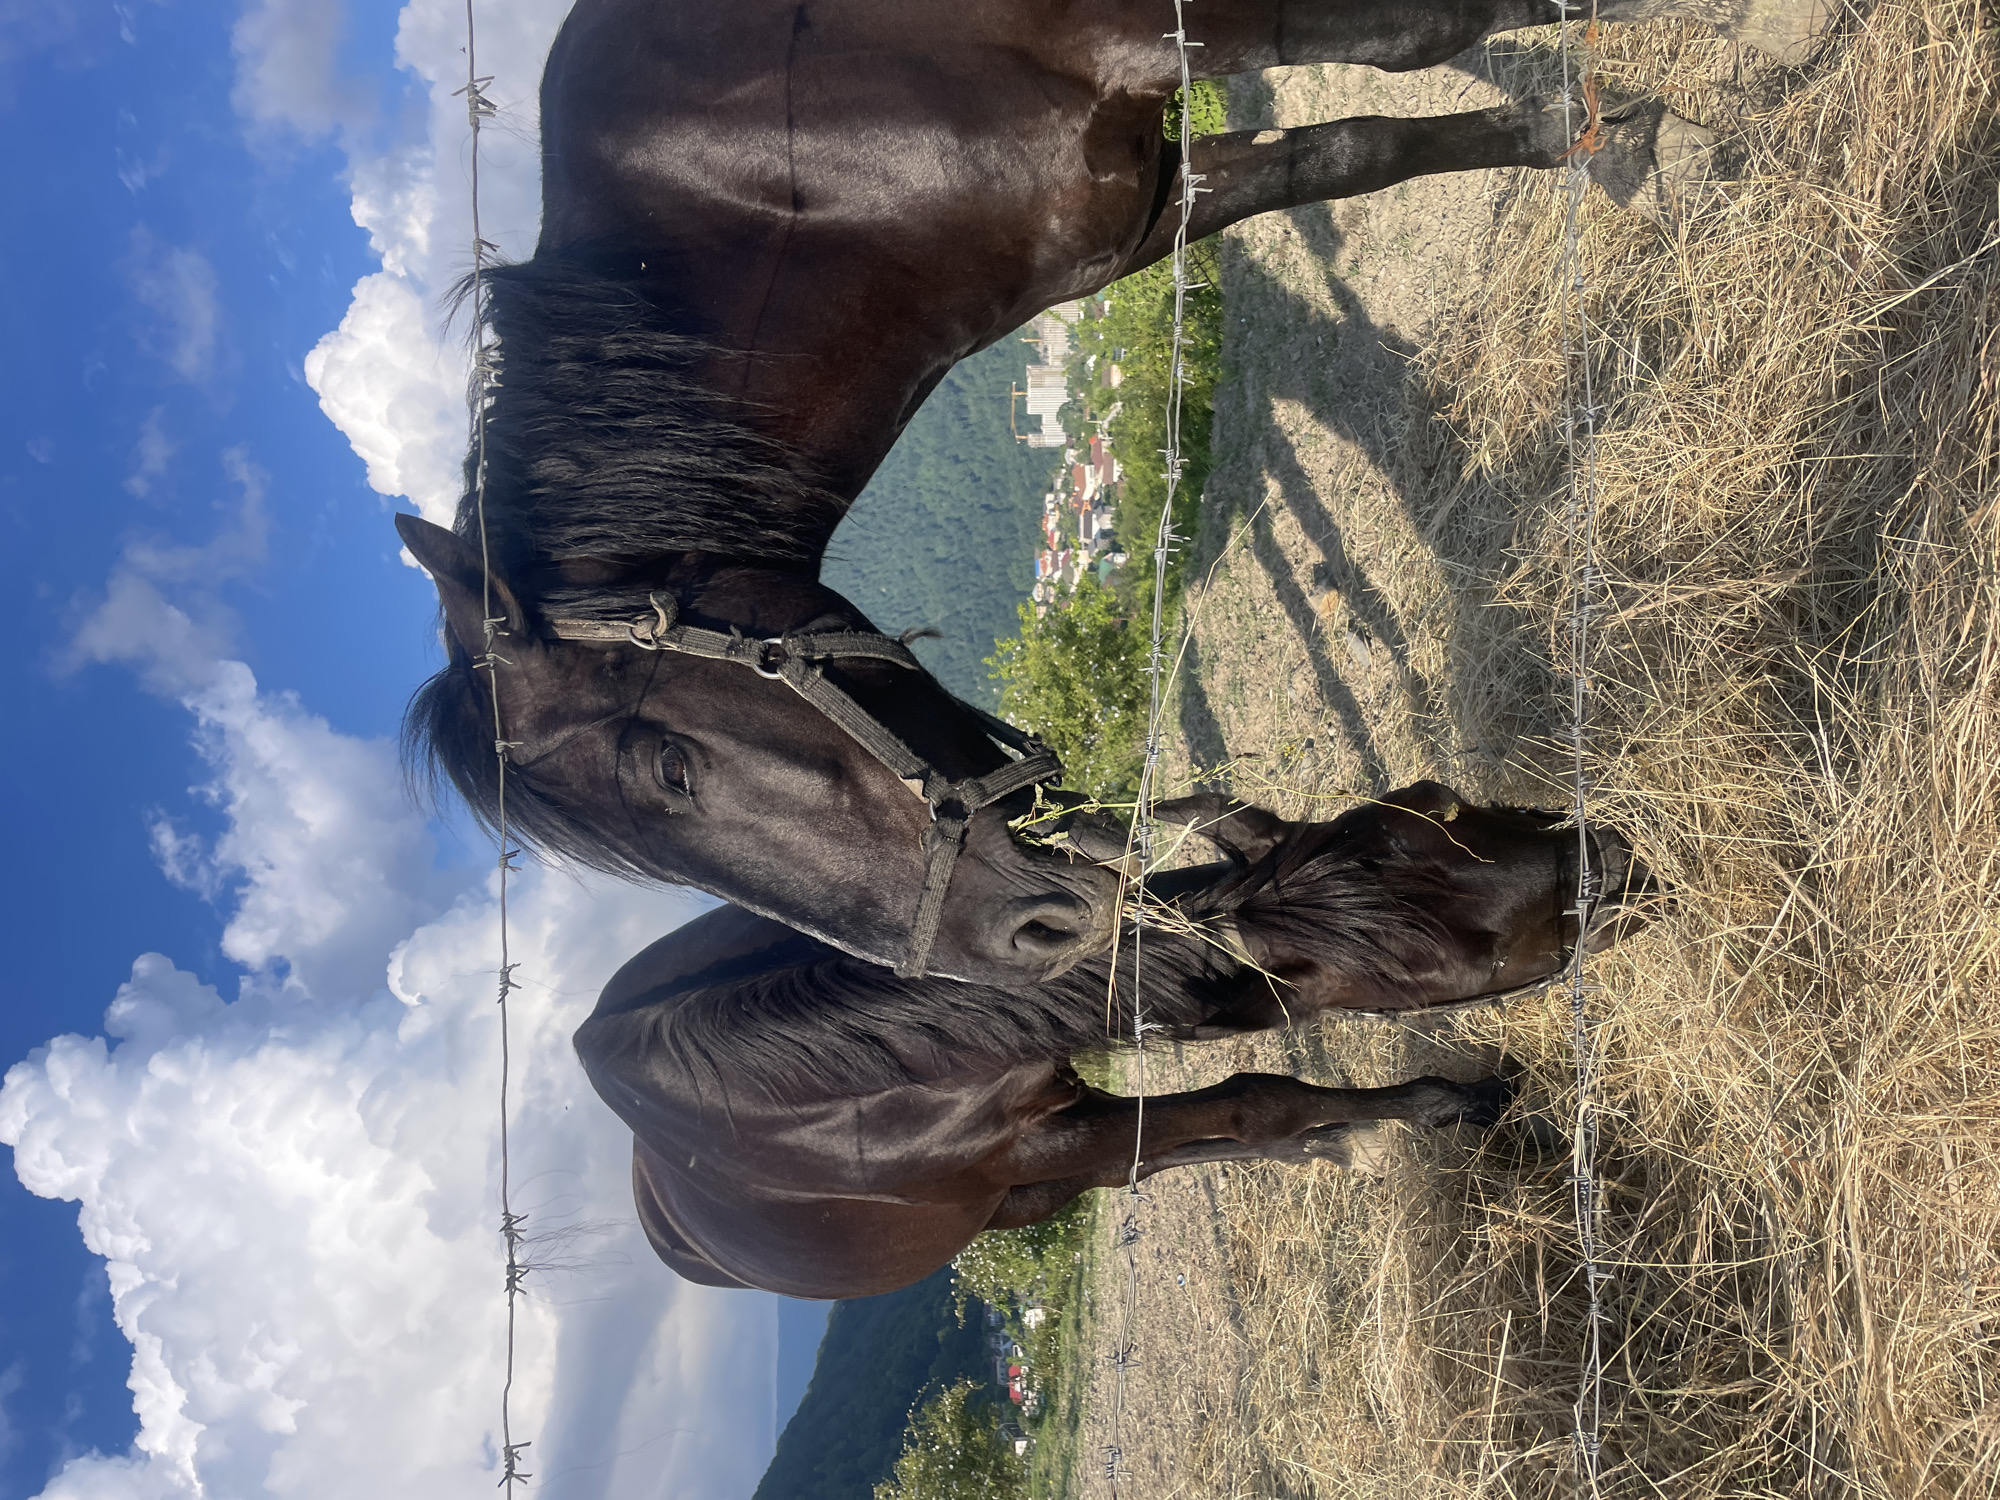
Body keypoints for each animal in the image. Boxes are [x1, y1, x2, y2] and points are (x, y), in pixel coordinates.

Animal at [398, 0, 1822, 985]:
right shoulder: (1140, 195)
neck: (785, 168)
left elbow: (1414, 40)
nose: (1024, 937)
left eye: (669, 770)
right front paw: (1592, 131)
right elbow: (1348, 143)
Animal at [572, 782, 1652, 1297]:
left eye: (1445, 804)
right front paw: (1452, 1101)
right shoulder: (1041, 1141)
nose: (1612, 866)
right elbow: (1257, 1096)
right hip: (1021, 1193)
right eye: (1446, 969)